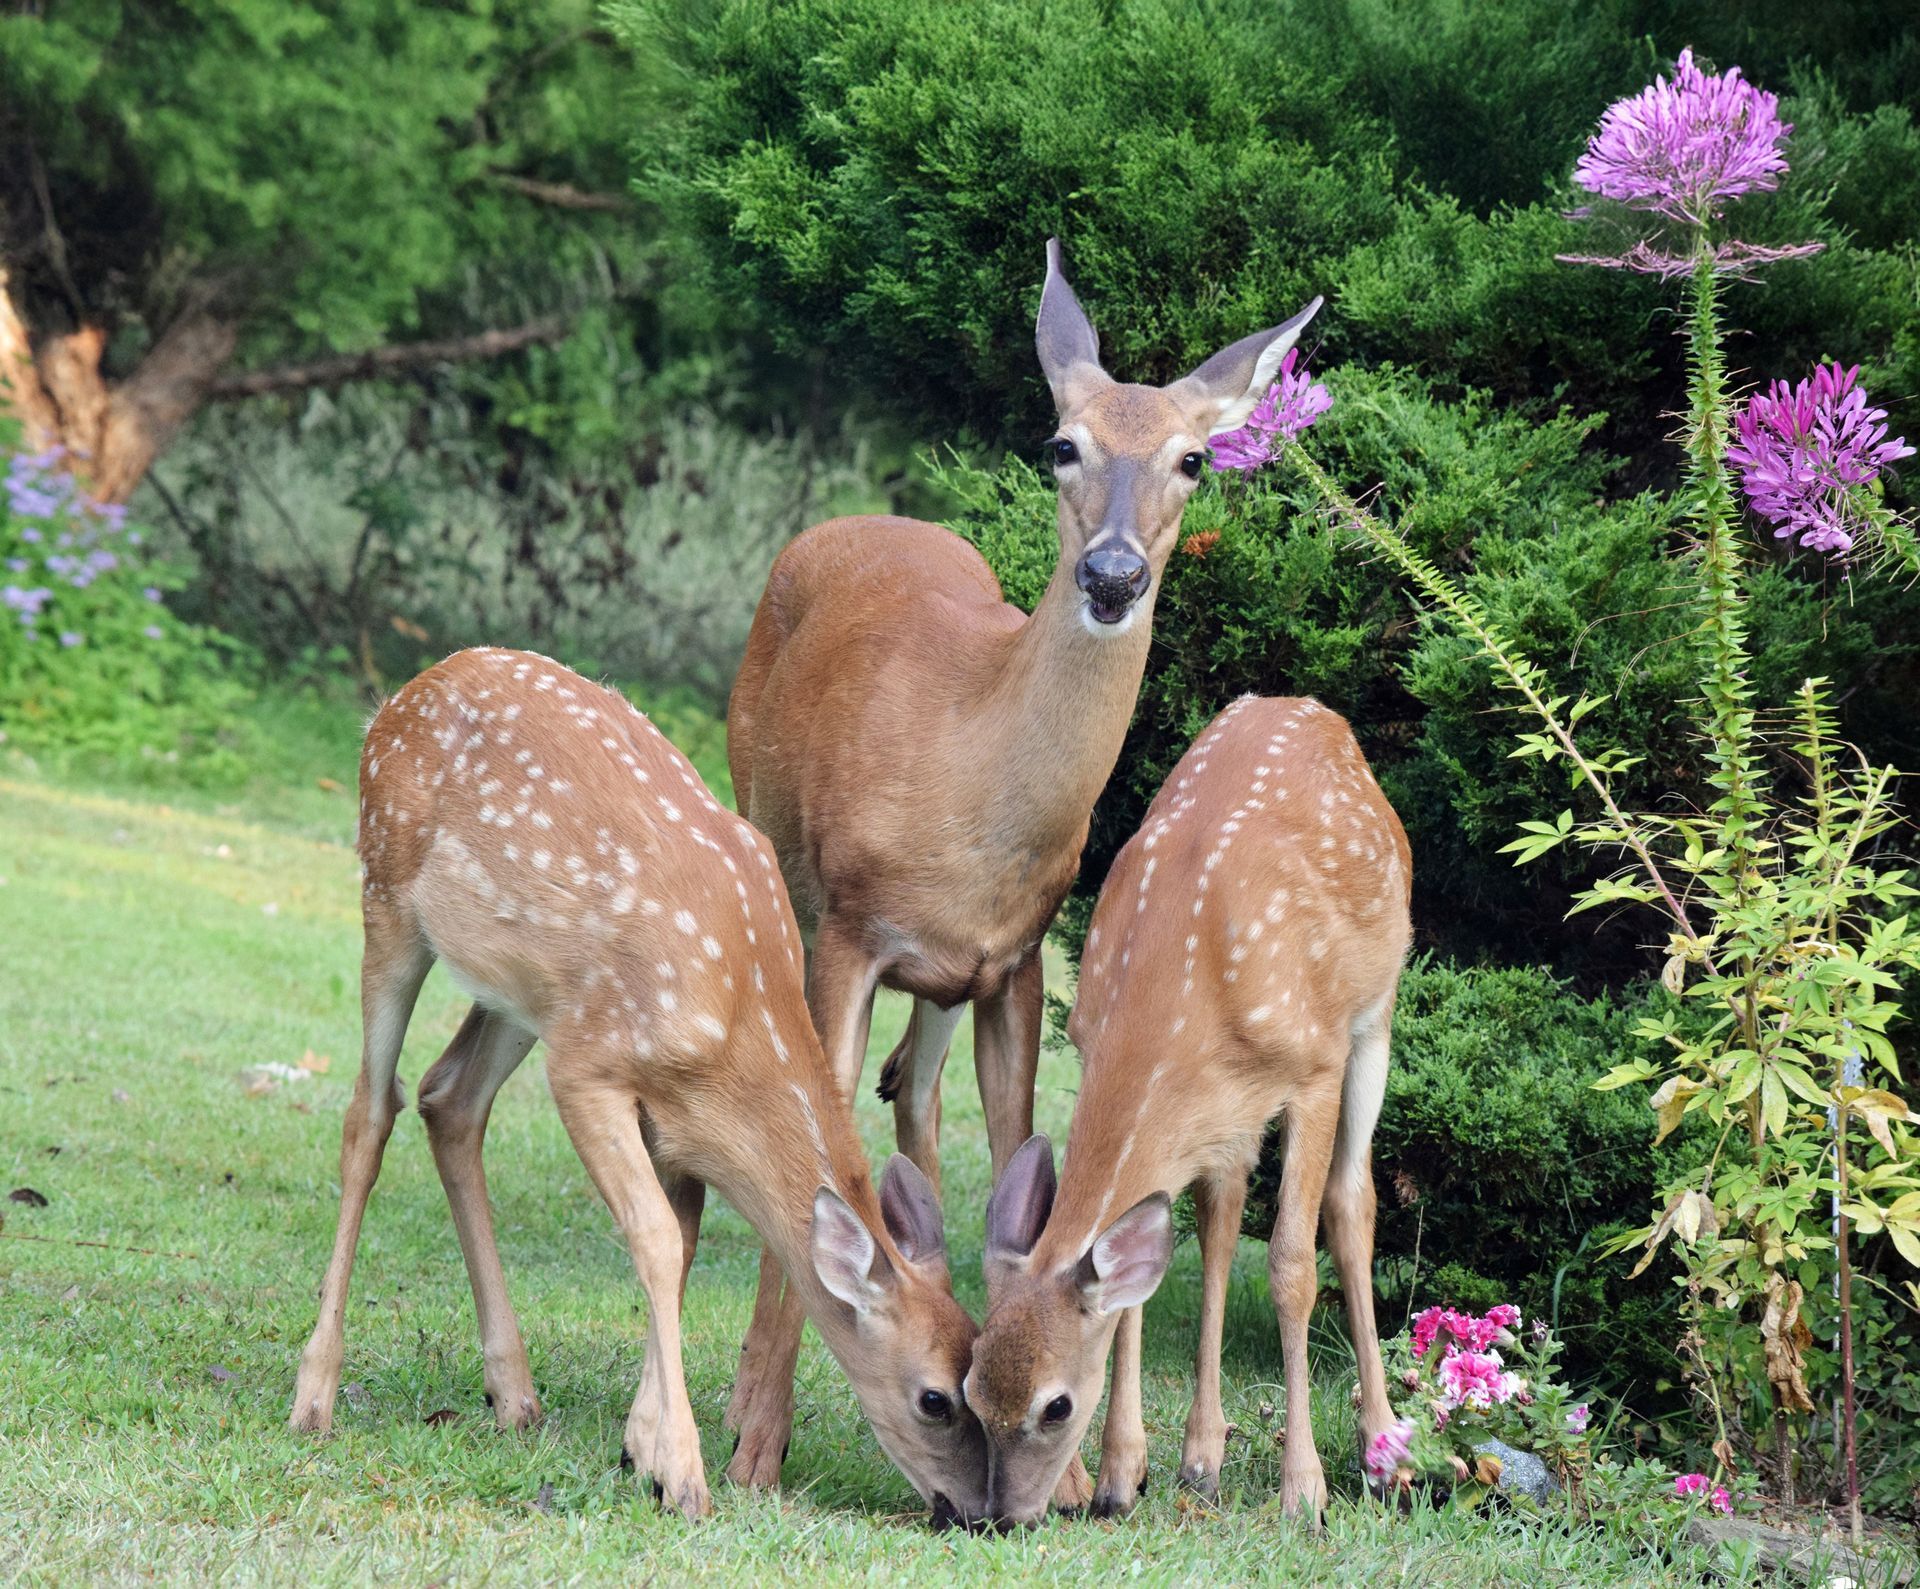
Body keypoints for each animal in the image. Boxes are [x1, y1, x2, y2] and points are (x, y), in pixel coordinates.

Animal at [287, 647, 989, 1525]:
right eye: (936, 1397)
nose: (980, 1508)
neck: (735, 1018)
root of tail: (401, 696)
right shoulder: (589, 1068)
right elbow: (655, 1236)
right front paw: (682, 1472)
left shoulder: (661, 1112)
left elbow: (679, 1241)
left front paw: (641, 1446)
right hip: (388, 892)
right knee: (368, 1115)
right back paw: (315, 1395)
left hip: (526, 993)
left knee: (449, 1098)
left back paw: (514, 1394)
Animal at [718, 240, 1323, 1499]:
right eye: (1062, 442)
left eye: (1195, 457)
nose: (1113, 573)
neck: (970, 774)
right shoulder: (851, 931)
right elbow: (819, 1153)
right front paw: (756, 1438)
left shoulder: (1014, 958)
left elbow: (1016, 1154)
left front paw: (1078, 1465)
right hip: (775, 846)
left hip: (947, 981)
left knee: (914, 1090)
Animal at [962, 694, 1411, 1527]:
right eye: (972, 1390)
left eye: (1054, 1406)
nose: (995, 1514)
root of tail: (1310, 708)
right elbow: (1143, 1277)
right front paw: (1120, 1473)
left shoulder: (1314, 1067)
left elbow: (1292, 1264)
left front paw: (1304, 1490)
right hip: (1231, 1118)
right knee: (1220, 1222)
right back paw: (1202, 1457)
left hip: (1376, 1014)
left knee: (1351, 1203)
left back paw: (1383, 1450)